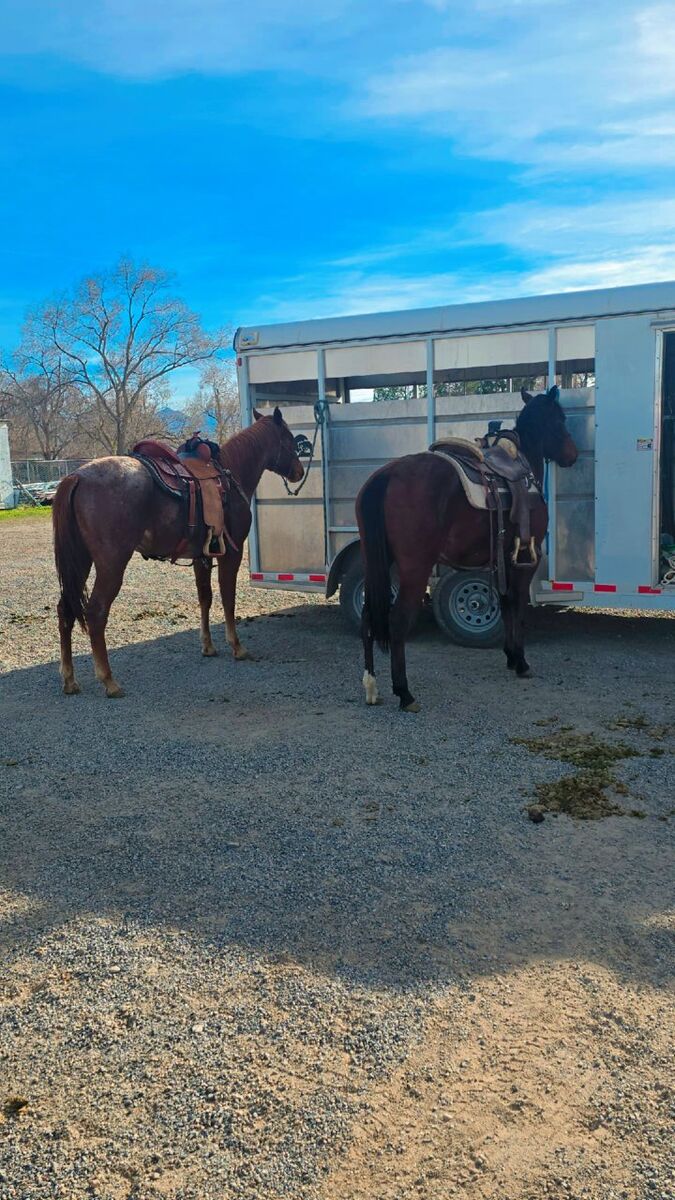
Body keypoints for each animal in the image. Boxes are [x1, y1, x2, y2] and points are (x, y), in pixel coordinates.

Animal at [52, 407, 304, 698]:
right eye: (288, 439)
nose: (299, 472)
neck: (231, 476)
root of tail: (77, 476)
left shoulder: (202, 557)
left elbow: (205, 598)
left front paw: (208, 646)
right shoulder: (232, 553)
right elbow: (228, 598)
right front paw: (237, 647)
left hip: (80, 561)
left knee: (65, 609)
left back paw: (69, 680)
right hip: (111, 564)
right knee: (96, 612)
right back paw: (109, 681)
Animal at [356, 386, 579, 712]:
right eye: (560, 419)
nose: (572, 454)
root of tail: (389, 474)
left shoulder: (501, 561)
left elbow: (505, 603)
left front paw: (510, 656)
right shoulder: (526, 559)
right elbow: (518, 605)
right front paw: (521, 661)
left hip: (378, 563)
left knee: (368, 617)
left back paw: (371, 686)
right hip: (414, 568)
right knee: (397, 621)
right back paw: (405, 693)